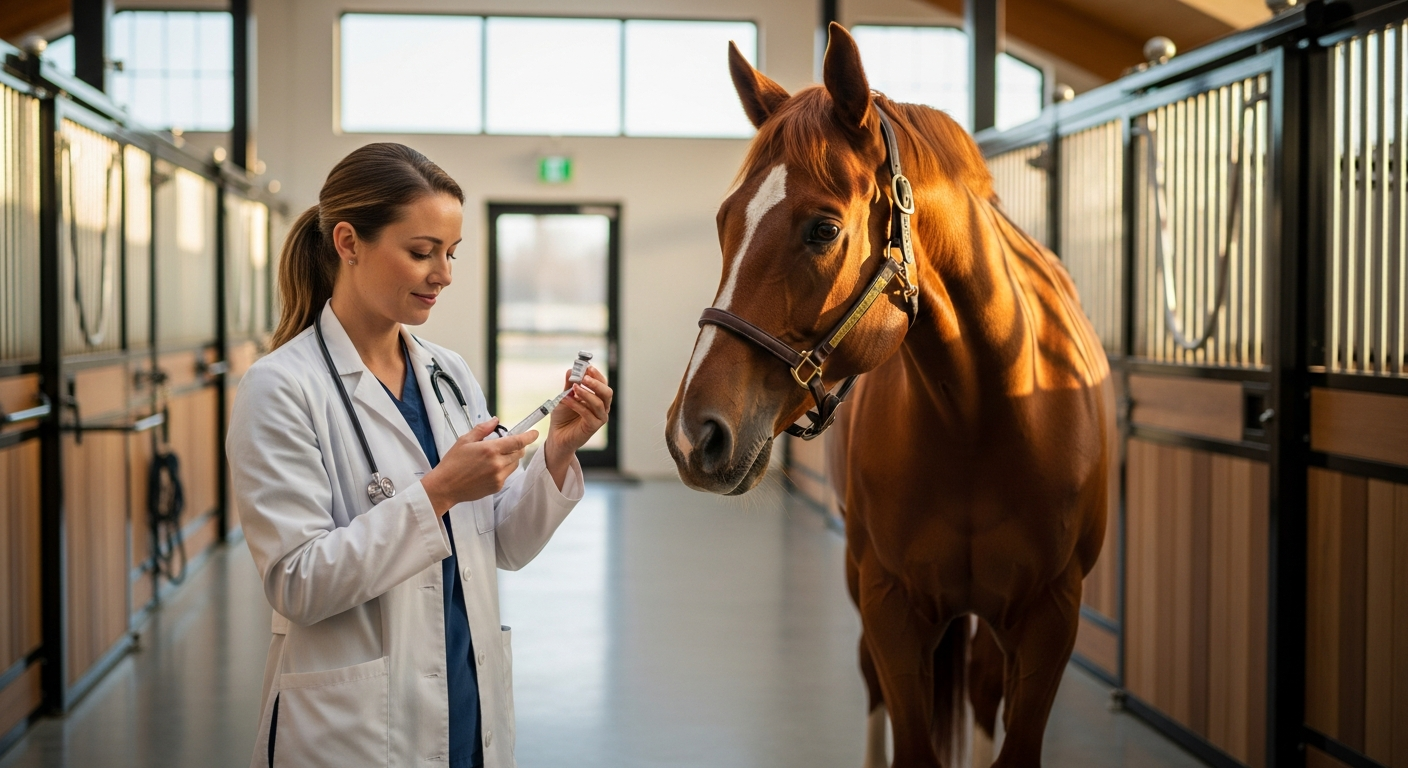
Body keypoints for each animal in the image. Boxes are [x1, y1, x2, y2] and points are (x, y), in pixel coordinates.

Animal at [665, 23, 1114, 768]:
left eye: (823, 228)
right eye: (726, 220)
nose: (692, 435)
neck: (980, 417)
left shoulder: (1051, 617)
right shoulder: (891, 606)